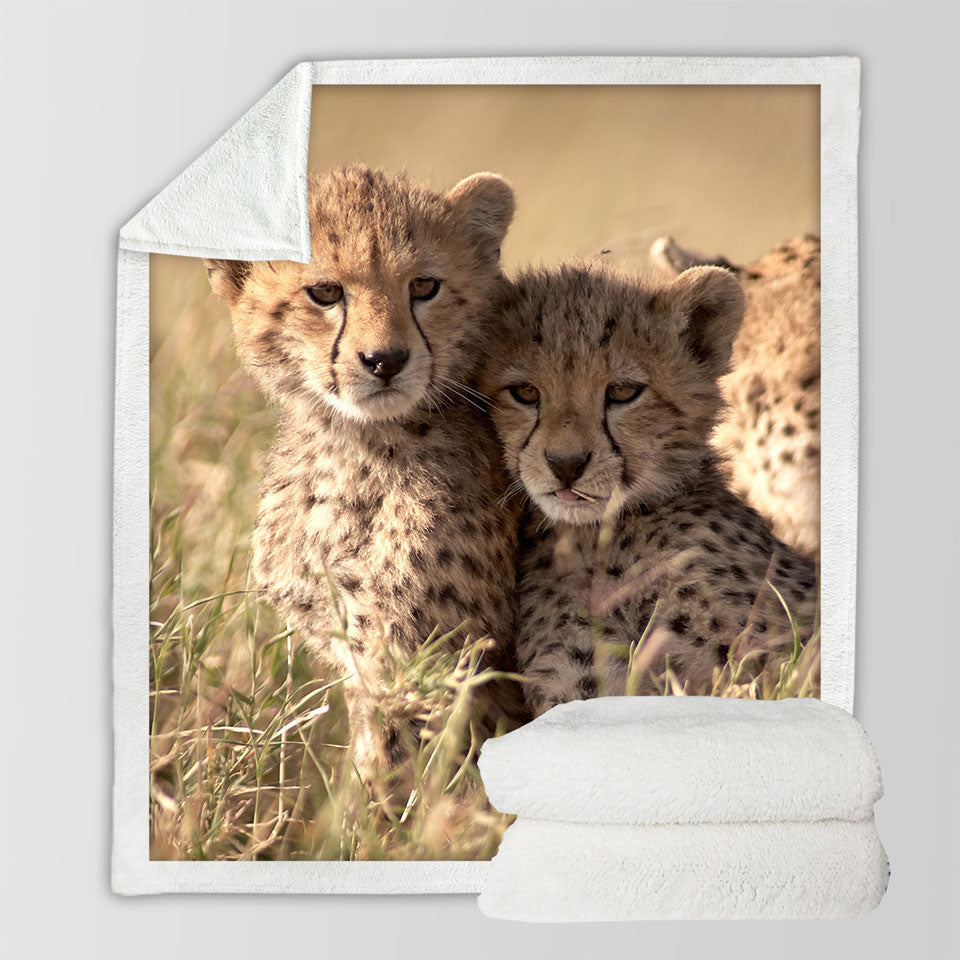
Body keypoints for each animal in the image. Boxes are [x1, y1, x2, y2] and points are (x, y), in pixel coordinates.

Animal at [206, 165, 524, 804]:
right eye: (326, 293)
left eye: (424, 285)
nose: (385, 360)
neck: (353, 447)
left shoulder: (422, 659)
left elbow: (400, 777)